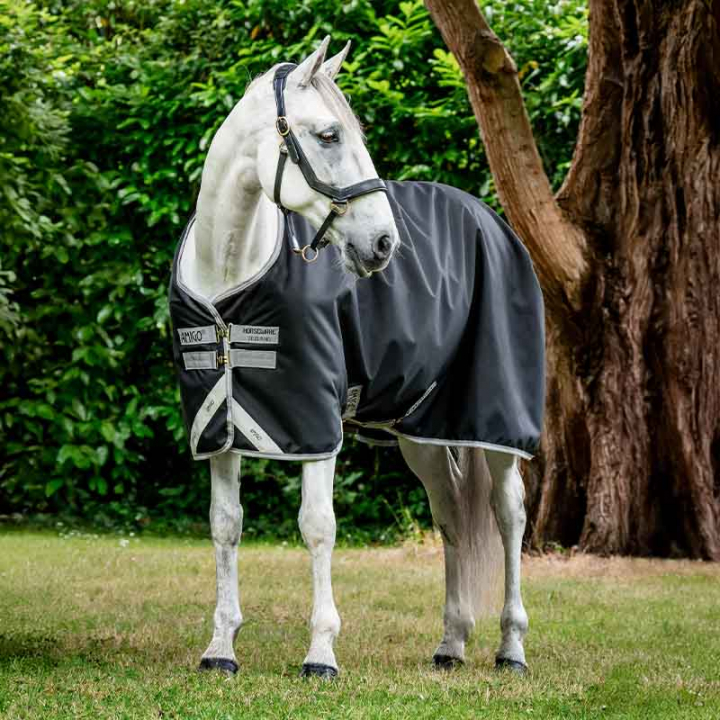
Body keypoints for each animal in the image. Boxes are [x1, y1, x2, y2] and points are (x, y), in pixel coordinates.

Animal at [169, 36, 544, 678]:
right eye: (328, 135)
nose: (384, 244)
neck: (231, 272)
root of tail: (490, 219)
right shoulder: (219, 424)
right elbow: (225, 526)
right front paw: (220, 647)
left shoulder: (316, 423)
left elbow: (318, 527)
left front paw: (321, 653)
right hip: (423, 430)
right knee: (451, 516)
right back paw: (451, 643)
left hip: (494, 421)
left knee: (508, 514)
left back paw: (511, 647)